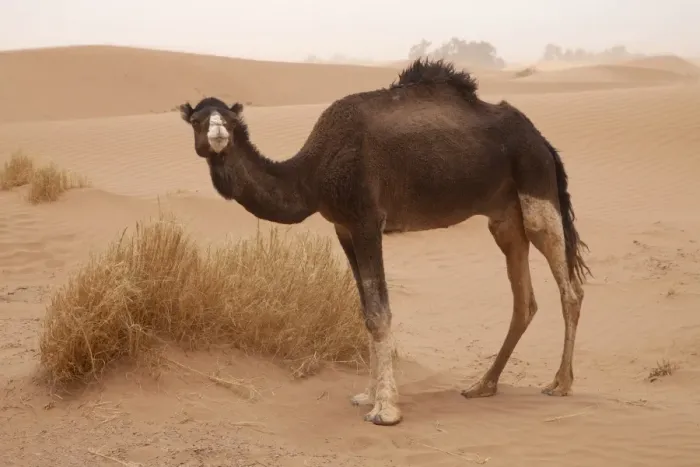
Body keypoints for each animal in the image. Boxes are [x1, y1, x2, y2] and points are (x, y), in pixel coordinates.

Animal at [178, 58, 591, 427]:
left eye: (230, 121)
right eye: (197, 121)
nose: (218, 137)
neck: (312, 174)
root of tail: (543, 141)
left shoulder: (366, 220)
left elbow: (380, 313)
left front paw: (385, 409)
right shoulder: (343, 227)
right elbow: (366, 311)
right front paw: (366, 395)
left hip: (534, 184)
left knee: (569, 289)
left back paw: (561, 383)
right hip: (504, 217)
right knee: (524, 300)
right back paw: (483, 385)